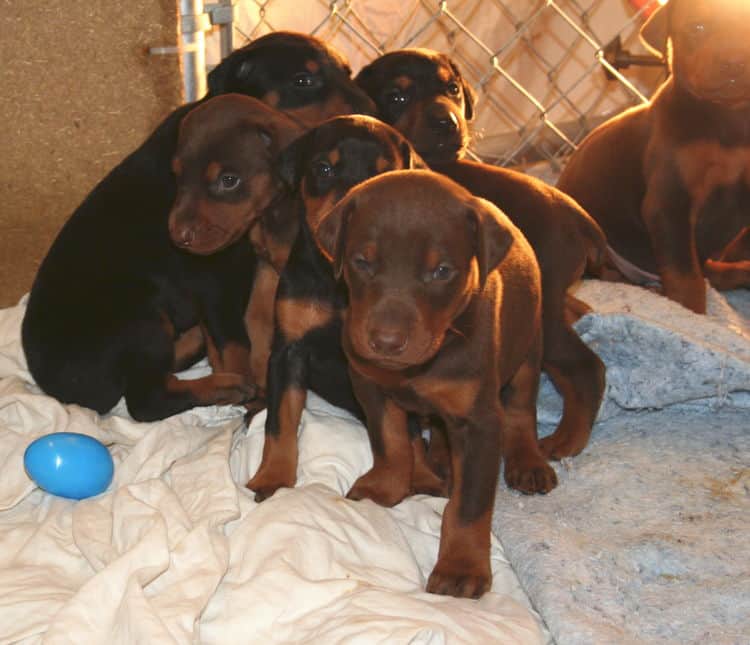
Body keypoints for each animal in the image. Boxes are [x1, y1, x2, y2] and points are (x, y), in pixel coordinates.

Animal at [22, 32, 374, 420]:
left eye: (348, 72)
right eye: (303, 80)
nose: (370, 112)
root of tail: (58, 388)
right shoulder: (214, 276)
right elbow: (238, 341)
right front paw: (253, 392)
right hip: (141, 314)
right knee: (147, 398)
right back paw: (226, 384)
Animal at [247, 114, 440, 498]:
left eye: (386, 175)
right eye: (324, 168)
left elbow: (400, 433)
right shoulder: (289, 350)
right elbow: (280, 421)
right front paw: (273, 477)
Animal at [316, 169, 560, 596]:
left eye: (442, 272)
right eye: (362, 262)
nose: (386, 342)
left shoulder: (480, 422)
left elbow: (468, 506)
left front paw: (461, 567)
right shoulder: (369, 386)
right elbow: (391, 442)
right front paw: (386, 487)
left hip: (529, 348)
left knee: (521, 410)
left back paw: (527, 462)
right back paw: (439, 461)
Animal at [356, 49, 608, 458]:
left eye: (452, 89)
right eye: (397, 96)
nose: (447, 121)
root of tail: (576, 214)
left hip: (542, 309)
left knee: (586, 368)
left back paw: (567, 439)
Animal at [560, 0, 750, 312]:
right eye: (697, 27)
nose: (733, 60)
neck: (728, 120)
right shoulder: (669, 202)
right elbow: (685, 277)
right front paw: (692, 314)